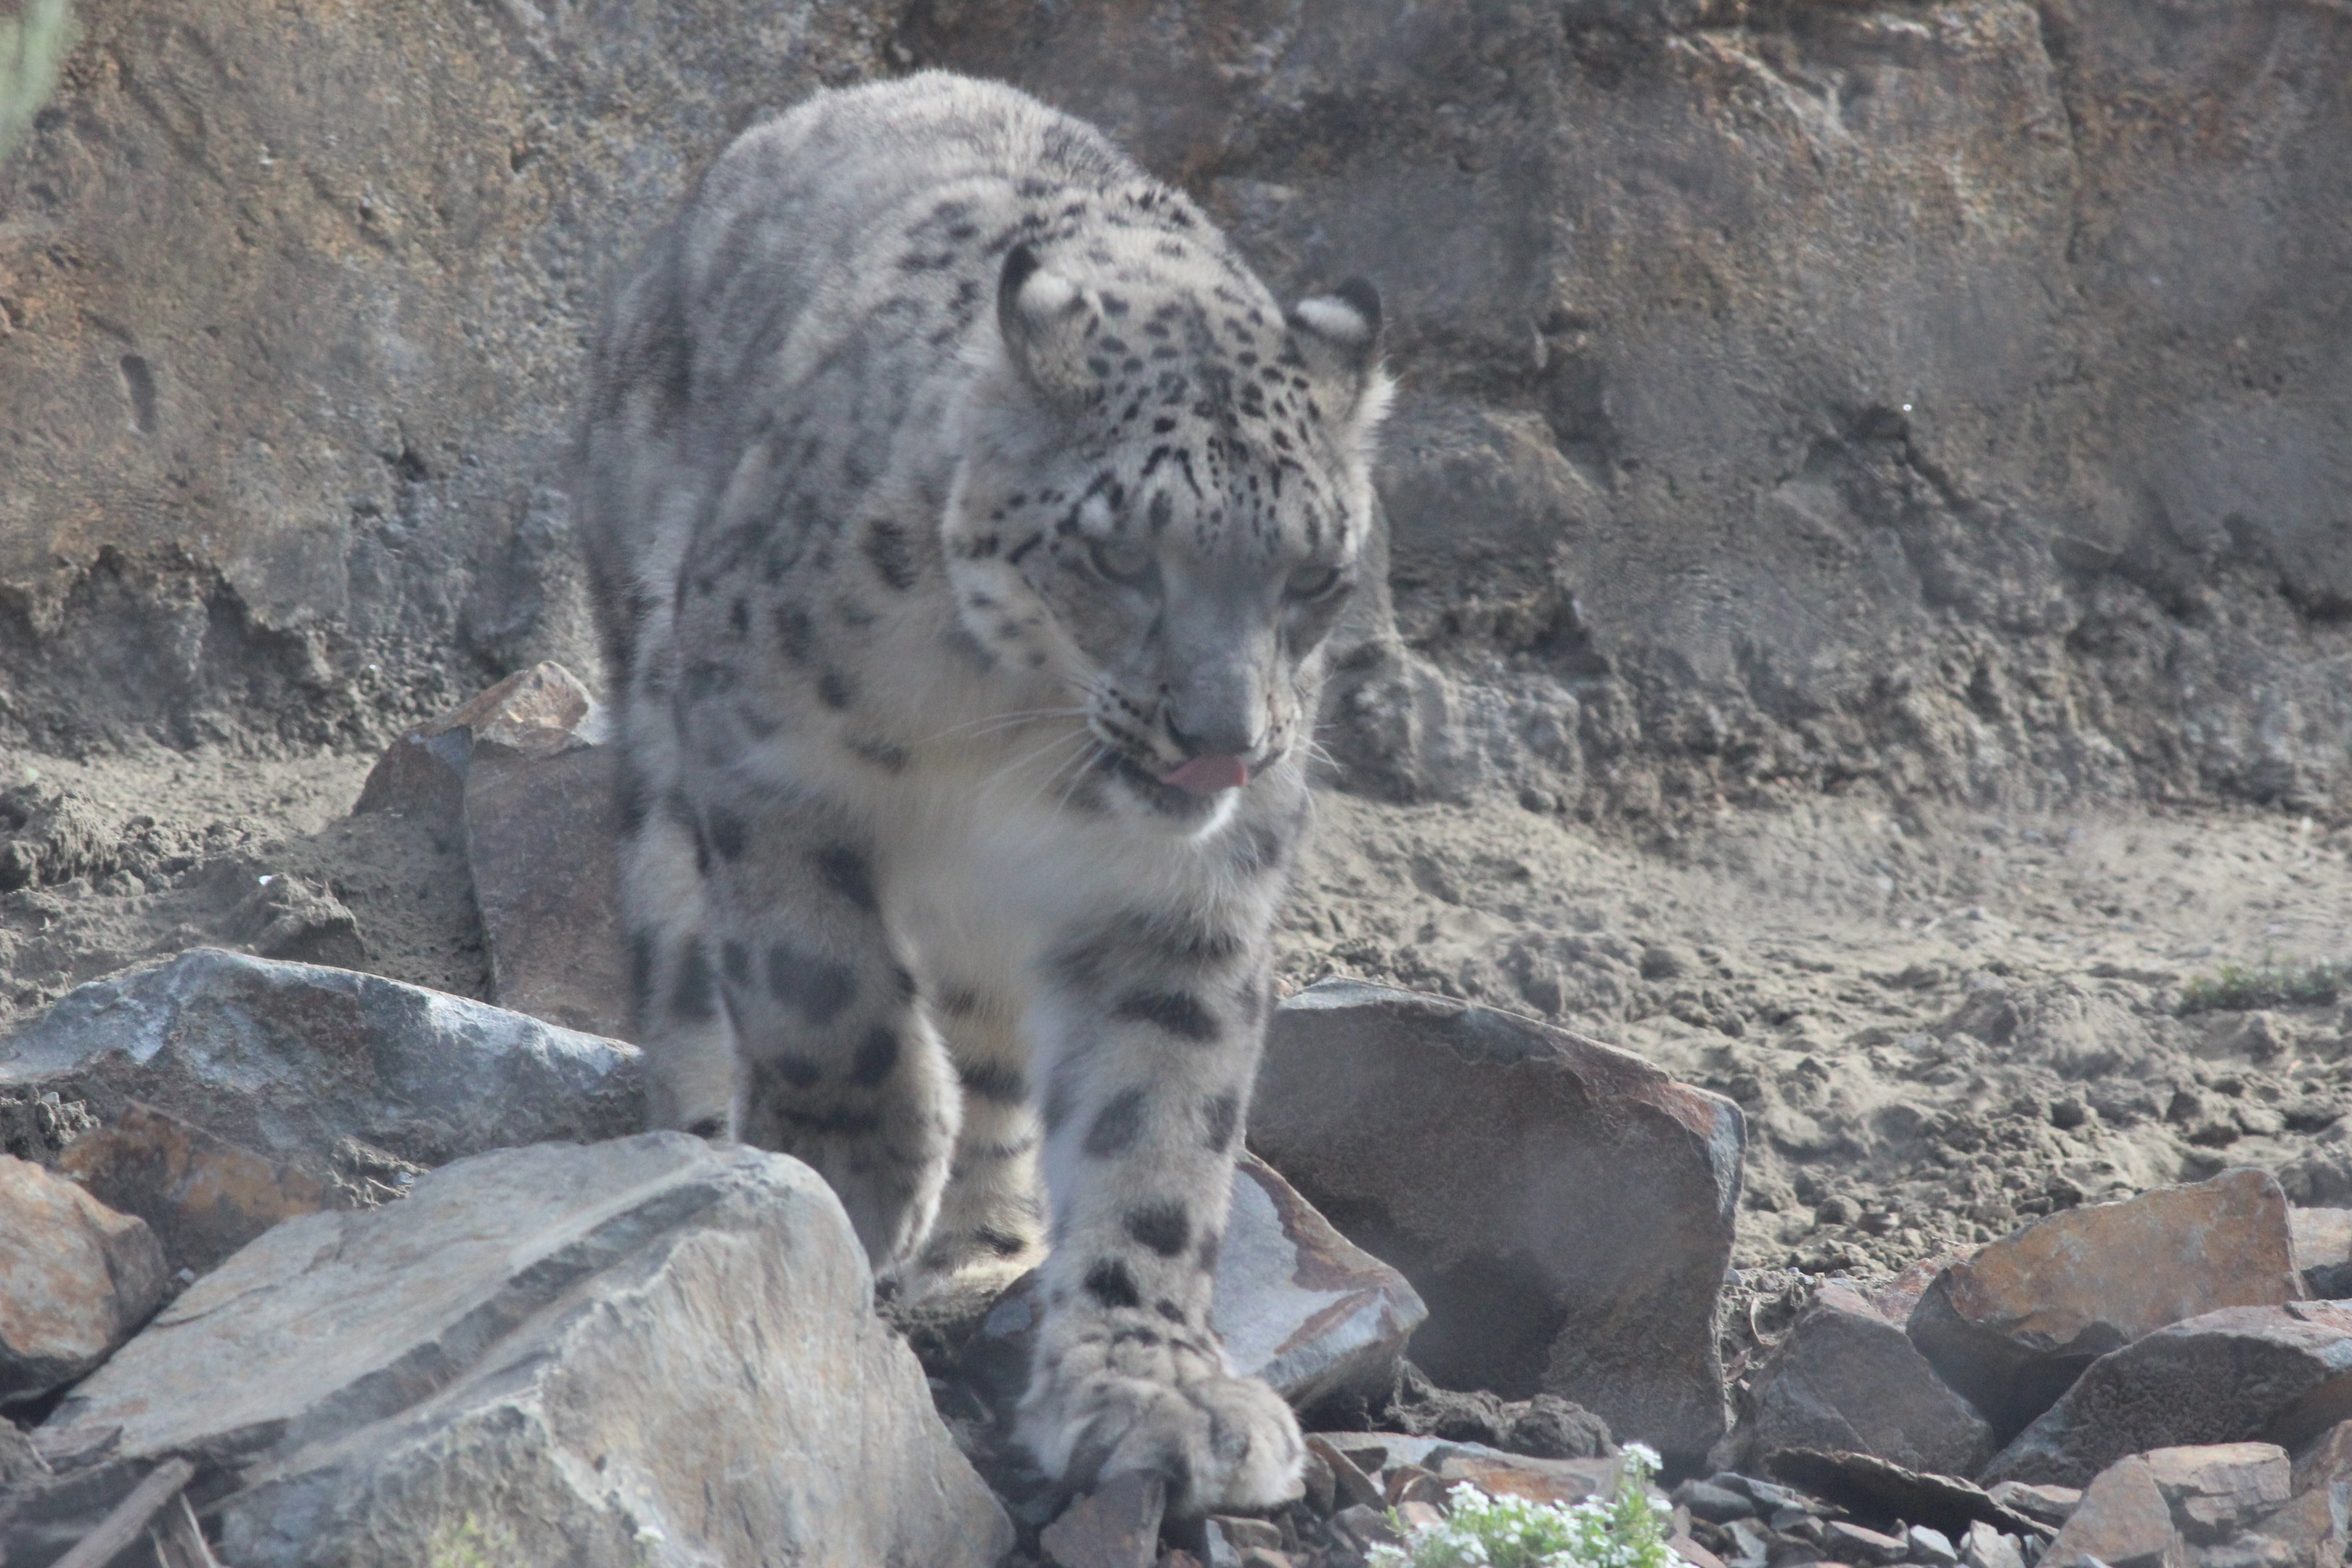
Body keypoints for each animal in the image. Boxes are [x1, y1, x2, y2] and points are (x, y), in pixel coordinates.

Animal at [575, 70, 1390, 1515]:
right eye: (1121, 554)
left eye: (1314, 577)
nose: (1224, 744)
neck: (1019, 743)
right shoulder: (767, 756)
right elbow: (825, 999)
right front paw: (863, 1175)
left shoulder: (1184, 902)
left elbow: (1158, 1134)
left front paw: (1152, 1393)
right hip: (657, 715)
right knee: (687, 967)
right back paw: (724, 1150)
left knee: (1003, 1050)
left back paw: (987, 1245)